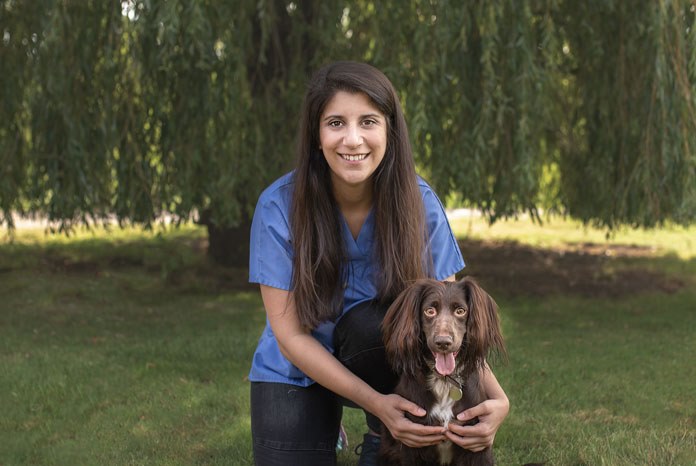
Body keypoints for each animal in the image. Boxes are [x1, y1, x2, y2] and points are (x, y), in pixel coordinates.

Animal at [380, 278, 506, 464]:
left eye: (460, 311)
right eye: (429, 311)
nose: (443, 342)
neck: (444, 380)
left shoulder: (477, 443)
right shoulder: (411, 442)